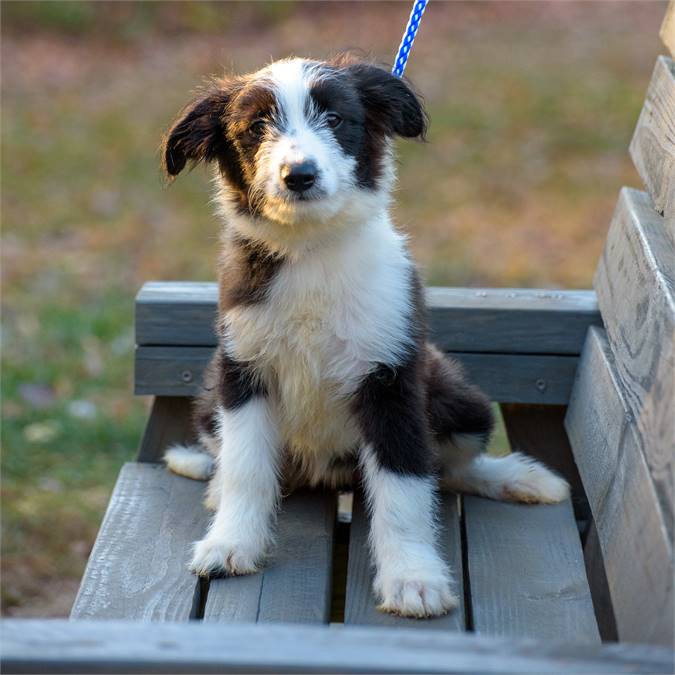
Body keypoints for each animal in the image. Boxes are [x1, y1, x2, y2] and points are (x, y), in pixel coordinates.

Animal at [164, 55, 572, 620]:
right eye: (257, 128)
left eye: (335, 119)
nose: (299, 175)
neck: (312, 250)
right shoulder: (242, 370)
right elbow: (247, 466)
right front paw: (231, 543)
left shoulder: (390, 377)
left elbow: (404, 486)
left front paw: (413, 578)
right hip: (209, 401)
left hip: (461, 400)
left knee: (448, 469)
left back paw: (521, 479)